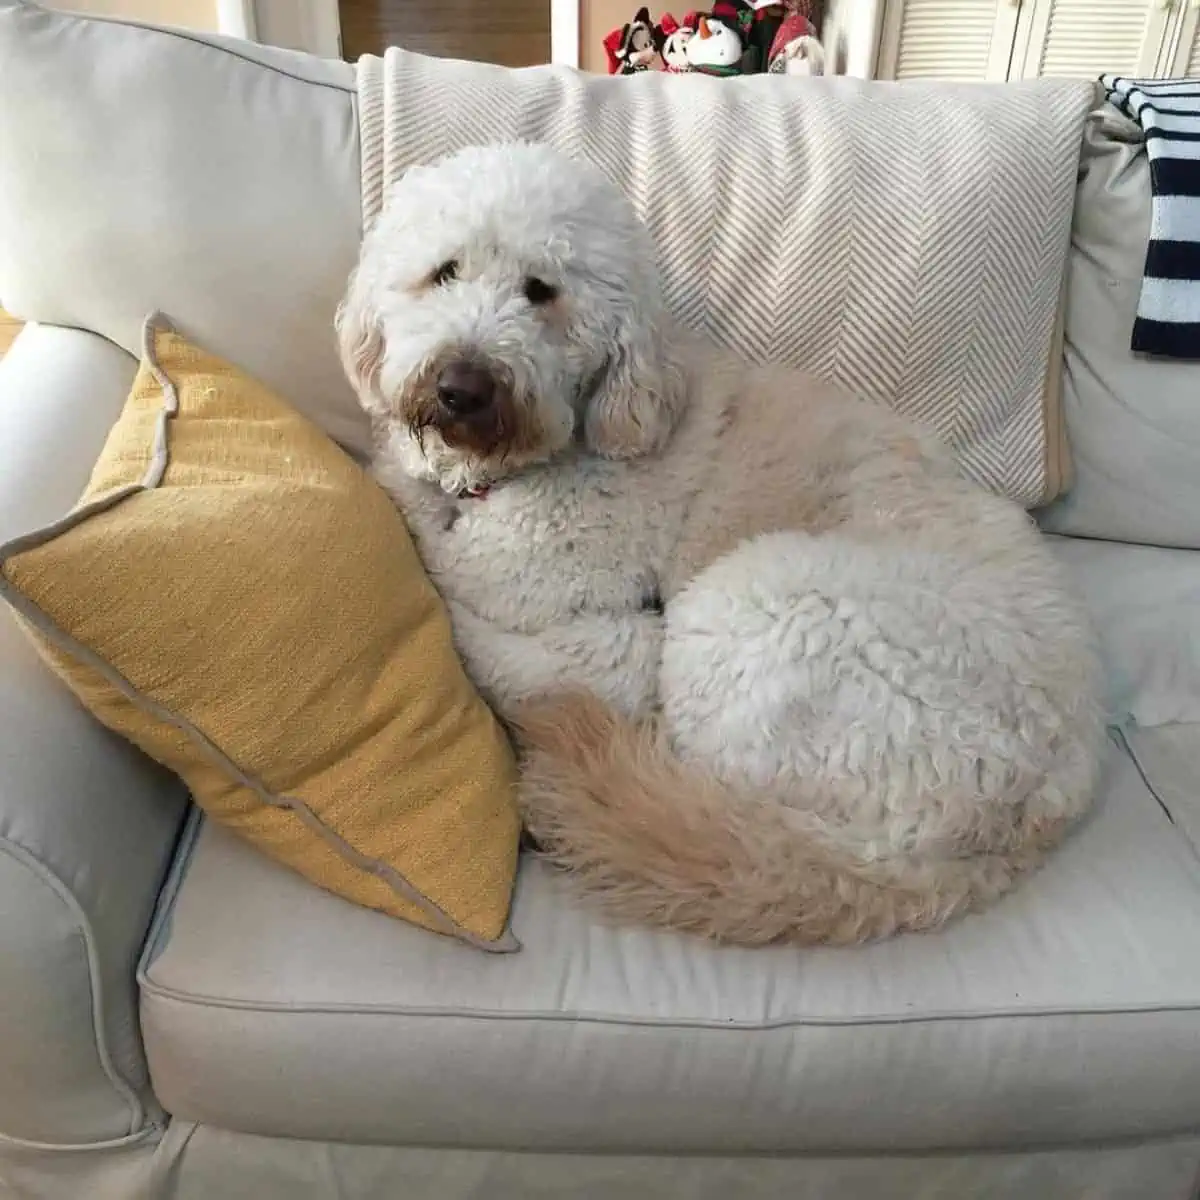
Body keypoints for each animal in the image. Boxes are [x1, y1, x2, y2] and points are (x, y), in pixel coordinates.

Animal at [338, 140, 1104, 945]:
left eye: (541, 291)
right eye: (444, 271)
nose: (462, 387)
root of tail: (1026, 814)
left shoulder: (586, 612)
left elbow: (501, 627)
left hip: (762, 607)